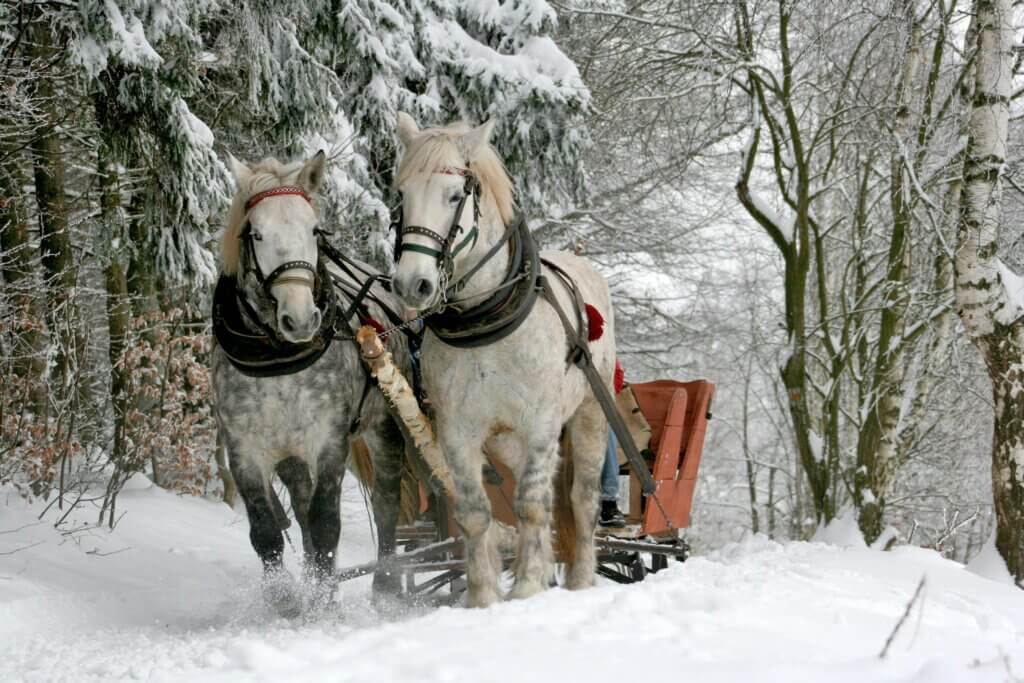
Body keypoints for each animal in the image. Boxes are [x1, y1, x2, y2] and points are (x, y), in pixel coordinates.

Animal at [211, 150, 407, 610]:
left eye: (314, 230)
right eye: (256, 234)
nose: (300, 319)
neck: (279, 358)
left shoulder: (329, 441)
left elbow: (326, 523)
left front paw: (323, 602)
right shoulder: (245, 450)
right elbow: (266, 531)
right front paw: (288, 600)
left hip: (384, 428)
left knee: (387, 501)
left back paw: (386, 585)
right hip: (291, 455)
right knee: (300, 509)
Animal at [389, 114, 614, 606]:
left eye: (455, 196)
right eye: (402, 195)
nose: (412, 284)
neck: (485, 319)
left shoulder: (543, 422)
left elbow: (532, 503)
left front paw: (527, 586)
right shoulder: (457, 429)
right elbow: (476, 511)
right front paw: (483, 596)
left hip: (589, 414)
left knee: (580, 499)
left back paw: (581, 579)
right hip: (506, 440)